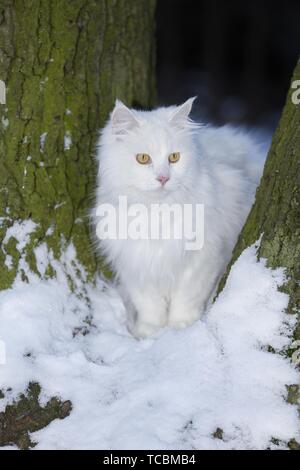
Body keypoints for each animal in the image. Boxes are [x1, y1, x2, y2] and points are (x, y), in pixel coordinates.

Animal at [93, 97, 264, 338]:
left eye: (174, 158)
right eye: (143, 159)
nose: (163, 178)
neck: (157, 212)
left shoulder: (202, 259)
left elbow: (186, 299)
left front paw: (181, 328)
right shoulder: (136, 265)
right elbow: (149, 305)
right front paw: (150, 333)